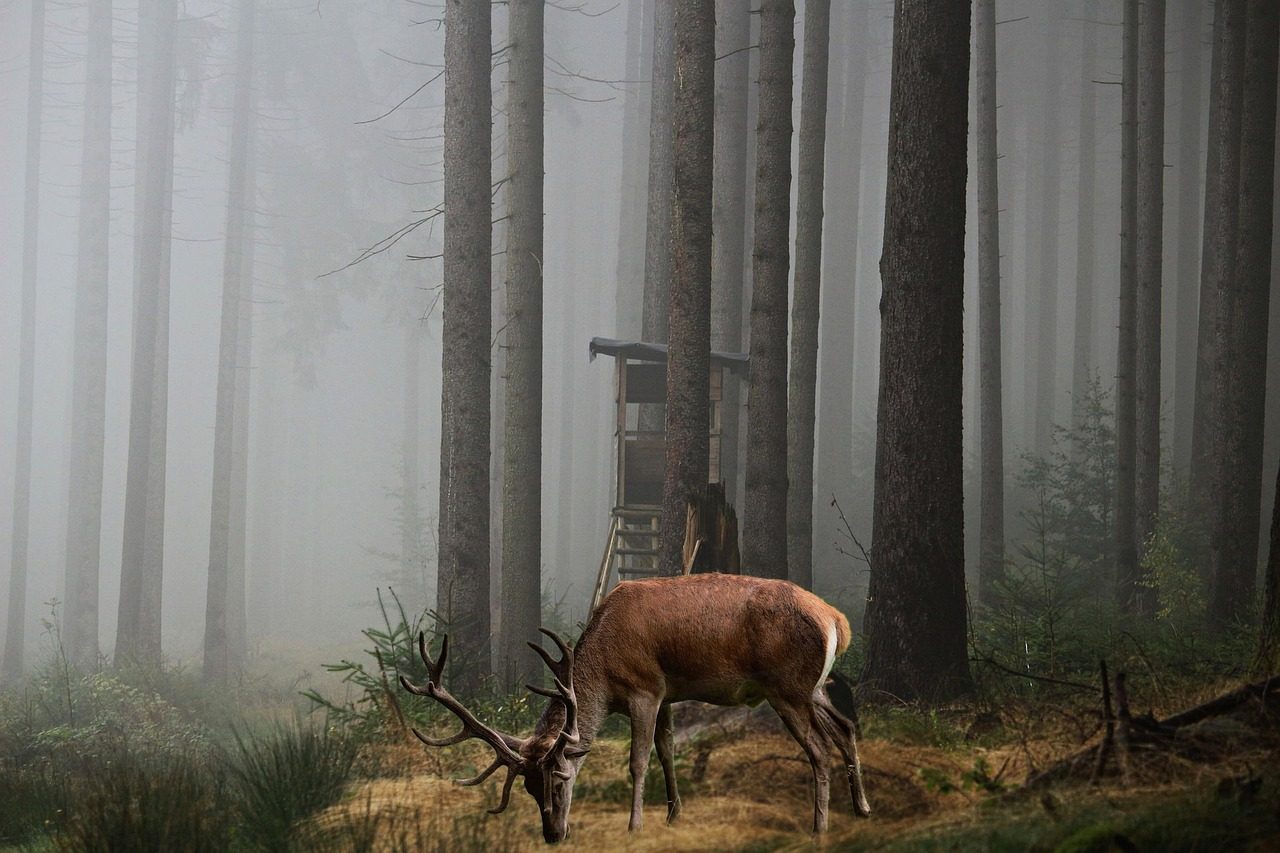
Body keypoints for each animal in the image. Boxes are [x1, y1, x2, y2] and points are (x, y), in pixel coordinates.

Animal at [399, 572, 871, 843]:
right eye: (529, 790)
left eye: (559, 782)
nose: (553, 835)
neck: (605, 675)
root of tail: (837, 620)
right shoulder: (667, 693)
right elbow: (667, 750)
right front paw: (674, 815)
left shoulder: (645, 689)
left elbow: (638, 760)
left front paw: (635, 825)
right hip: (813, 688)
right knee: (847, 727)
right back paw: (862, 808)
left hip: (786, 687)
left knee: (819, 747)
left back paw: (820, 826)